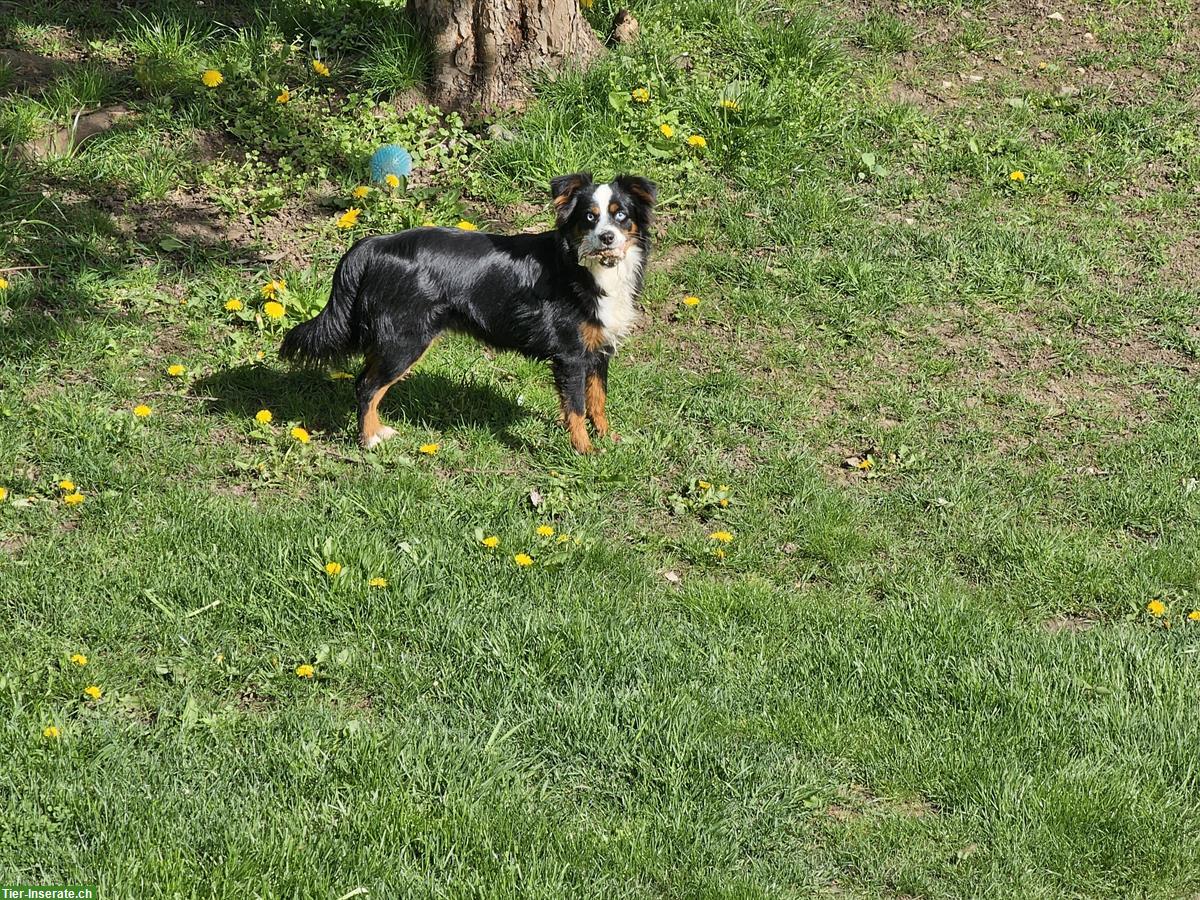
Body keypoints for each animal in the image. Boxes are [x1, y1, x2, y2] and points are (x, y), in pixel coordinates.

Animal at [280, 172, 657, 453]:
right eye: (589, 217)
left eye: (620, 215)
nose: (607, 237)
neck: (589, 268)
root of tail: (375, 244)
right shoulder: (571, 355)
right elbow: (576, 408)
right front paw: (585, 451)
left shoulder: (599, 350)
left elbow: (598, 400)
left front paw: (607, 439)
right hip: (406, 340)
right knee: (368, 386)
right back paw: (370, 439)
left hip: (391, 339)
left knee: (364, 379)